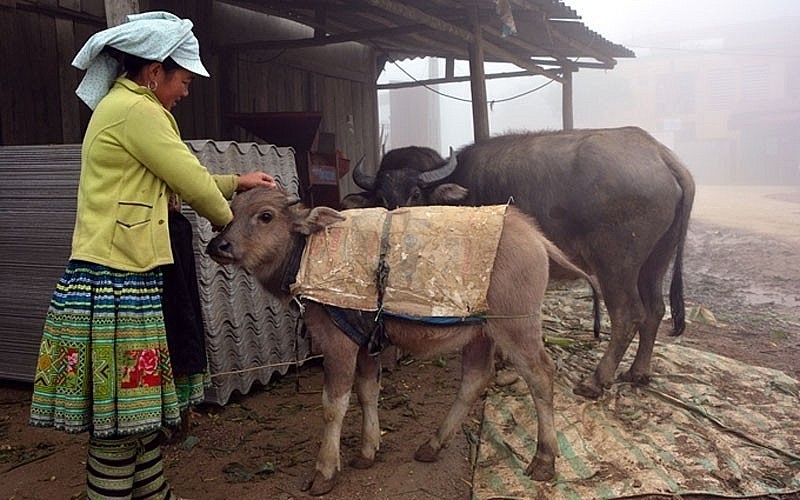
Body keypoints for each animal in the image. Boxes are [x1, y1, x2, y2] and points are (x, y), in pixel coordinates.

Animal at [208, 188, 600, 496]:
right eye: (230, 212)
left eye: (265, 216)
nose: (219, 245)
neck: (307, 255)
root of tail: (534, 235)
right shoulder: (366, 342)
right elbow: (368, 392)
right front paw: (367, 451)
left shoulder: (339, 345)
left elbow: (333, 406)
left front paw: (324, 471)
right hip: (481, 333)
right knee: (475, 379)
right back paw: (433, 444)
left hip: (517, 327)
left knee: (541, 375)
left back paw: (544, 459)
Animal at [350, 127, 692, 400]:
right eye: (381, 197)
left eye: (416, 193)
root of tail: (662, 155)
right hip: (656, 260)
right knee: (655, 310)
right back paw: (638, 372)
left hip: (615, 264)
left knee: (627, 315)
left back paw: (596, 381)